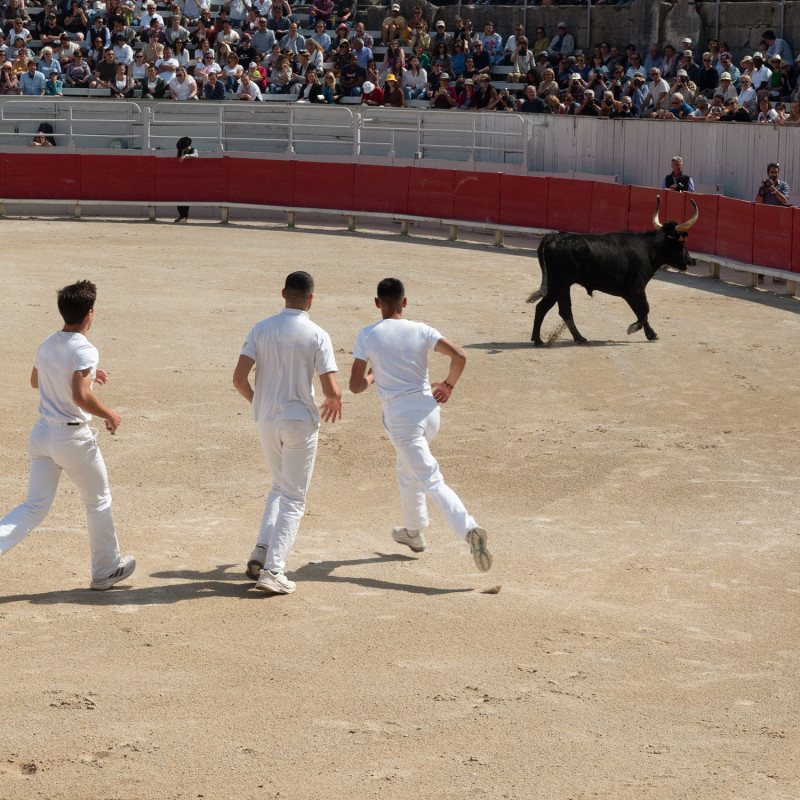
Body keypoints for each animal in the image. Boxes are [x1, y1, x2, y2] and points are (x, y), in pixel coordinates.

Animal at [528, 198, 696, 346]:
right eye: (682, 243)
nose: (691, 260)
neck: (647, 250)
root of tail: (552, 237)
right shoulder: (636, 288)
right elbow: (645, 309)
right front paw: (634, 328)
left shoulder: (630, 292)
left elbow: (640, 311)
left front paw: (651, 335)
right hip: (557, 284)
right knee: (543, 307)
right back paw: (538, 339)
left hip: (563, 285)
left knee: (565, 310)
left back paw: (580, 338)